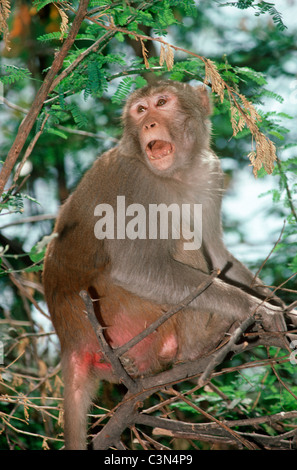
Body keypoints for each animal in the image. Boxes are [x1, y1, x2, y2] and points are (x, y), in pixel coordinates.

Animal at [42, 80, 288, 448]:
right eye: (140, 110)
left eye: (161, 102)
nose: (149, 124)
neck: (177, 175)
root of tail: (69, 341)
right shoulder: (132, 182)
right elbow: (133, 268)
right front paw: (256, 307)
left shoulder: (211, 172)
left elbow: (219, 255)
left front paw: (275, 302)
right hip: (123, 314)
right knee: (180, 240)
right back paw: (200, 342)